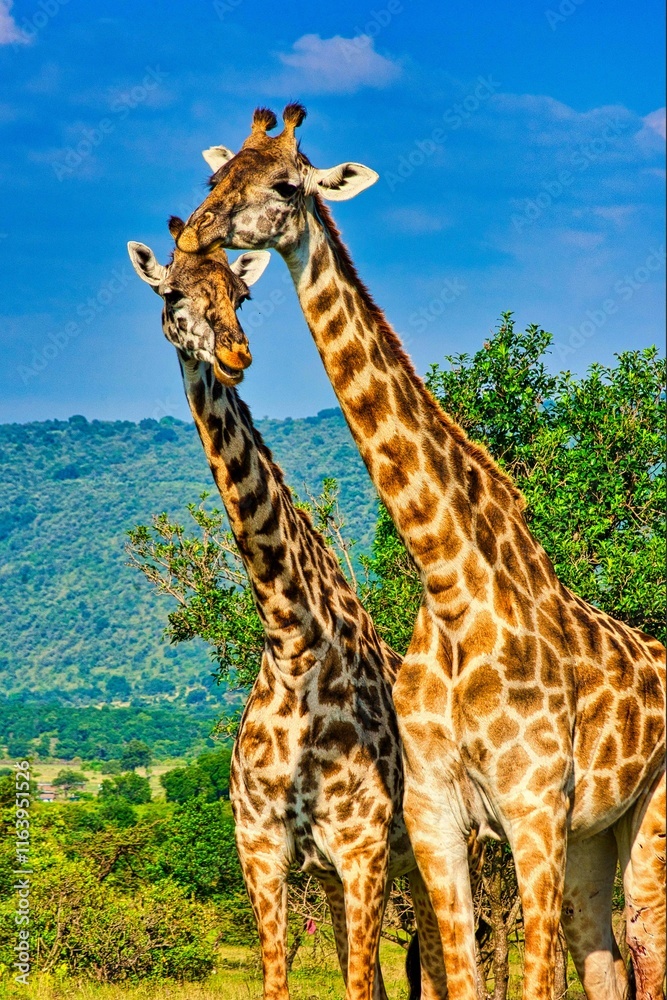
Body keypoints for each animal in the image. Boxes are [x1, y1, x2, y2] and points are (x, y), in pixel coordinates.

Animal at [127, 221, 450, 1000]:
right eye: (172, 293)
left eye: (242, 294)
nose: (235, 353)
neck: (292, 643)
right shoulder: (266, 853)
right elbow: (285, 983)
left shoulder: (363, 848)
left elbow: (363, 986)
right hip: (349, 875)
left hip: (438, 851)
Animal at [173, 105, 667, 1000]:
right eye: (213, 178)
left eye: (286, 185)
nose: (196, 233)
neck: (451, 586)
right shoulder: (434, 816)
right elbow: (459, 975)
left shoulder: (528, 811)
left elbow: (526, 979)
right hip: (588, 837)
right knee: (602, 952)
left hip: (646, 816)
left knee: (646, 940)